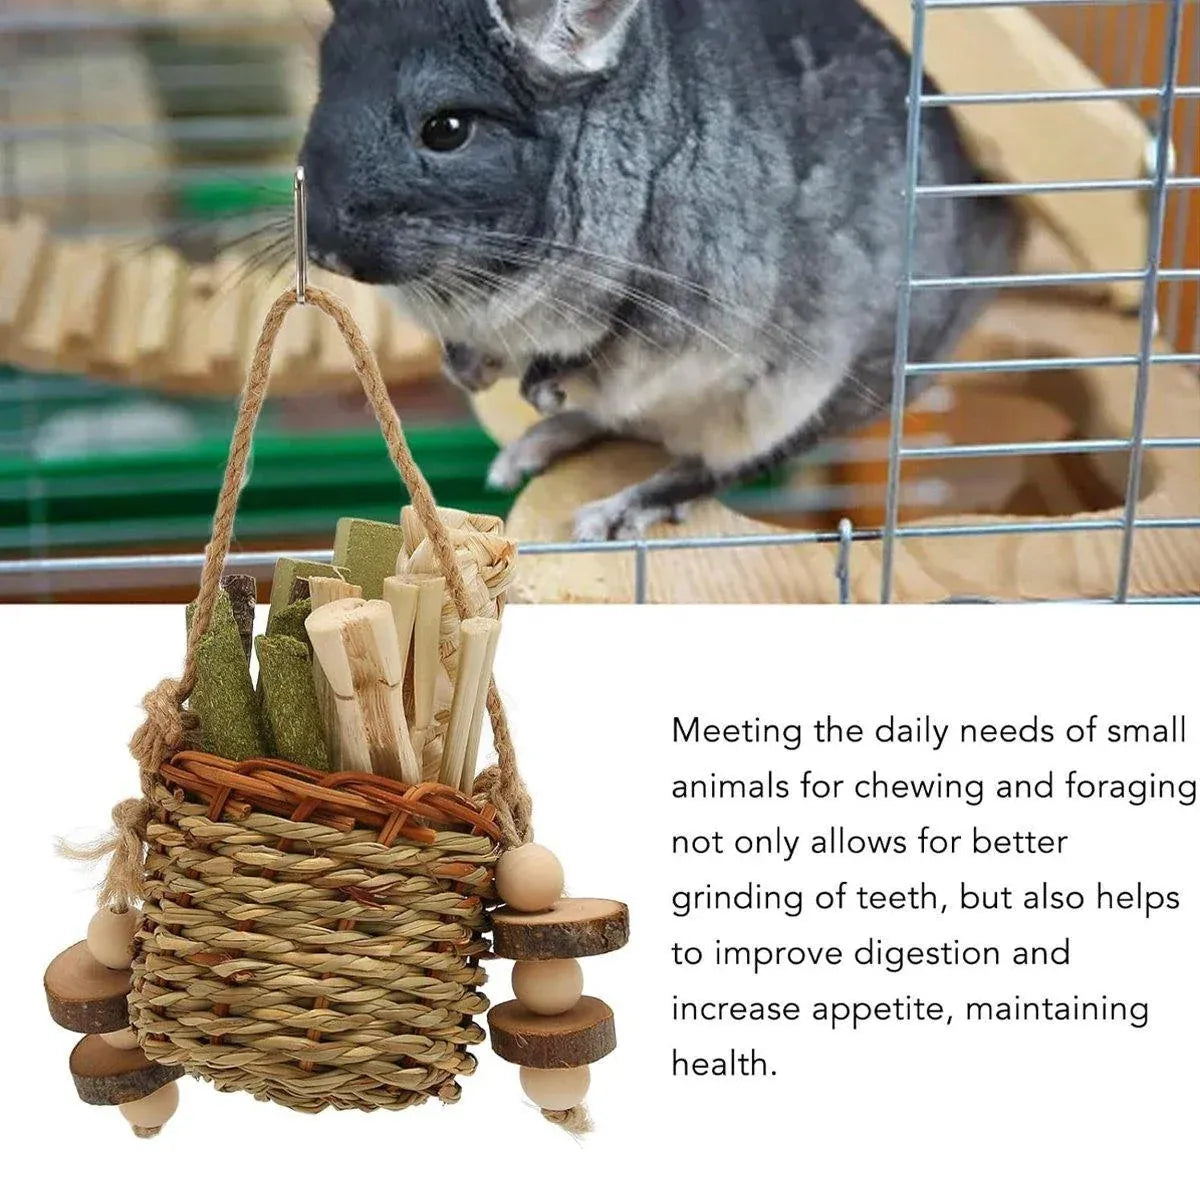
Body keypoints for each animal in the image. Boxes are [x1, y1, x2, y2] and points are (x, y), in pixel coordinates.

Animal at [301, 0, 1016, 540]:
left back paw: (613, 509)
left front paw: (540, 386)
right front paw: (469, 370)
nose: (324, 250)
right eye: (322, 97)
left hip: (801, 397)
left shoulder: (684, 302)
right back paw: (530, 450)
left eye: (446, 128)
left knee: (716, 464)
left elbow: (605, 348)